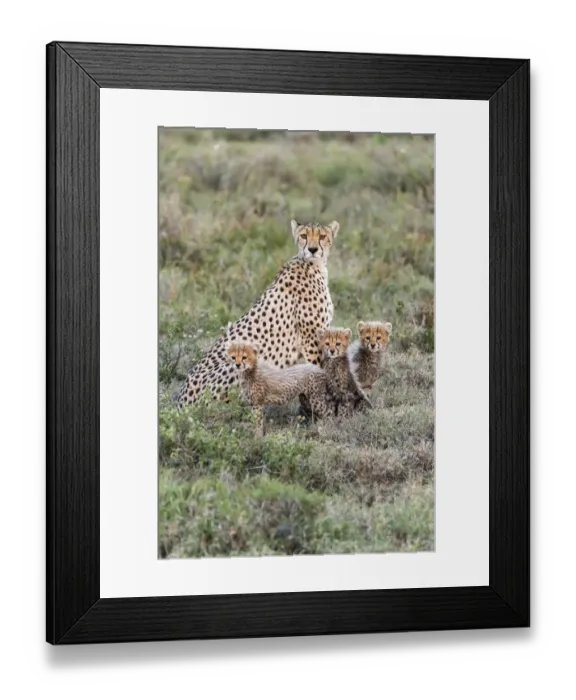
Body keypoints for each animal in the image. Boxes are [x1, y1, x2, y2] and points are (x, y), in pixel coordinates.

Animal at [177, 219, 340, 406]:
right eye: (304, 235)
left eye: (322, 236)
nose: (312, 249)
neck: (313, 265)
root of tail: (180, 401)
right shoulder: (311, 340)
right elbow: (319, 372)